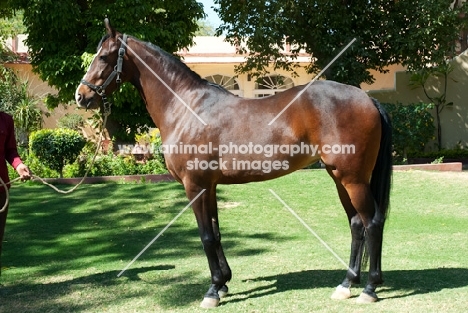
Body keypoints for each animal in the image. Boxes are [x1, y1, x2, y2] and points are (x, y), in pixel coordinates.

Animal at [76, 20, 392, 308]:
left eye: (103, 56)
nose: (82, 95)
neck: (186, 108)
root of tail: (368, 99)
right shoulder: (211, 186)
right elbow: (216, 233)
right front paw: (224, 282)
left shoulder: (195, 186)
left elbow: (205, 235)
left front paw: (212, 291)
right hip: (340, 177)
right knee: (357, 224)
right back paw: (346, 284)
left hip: (353, 179)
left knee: (372, 222)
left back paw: (369, 288)